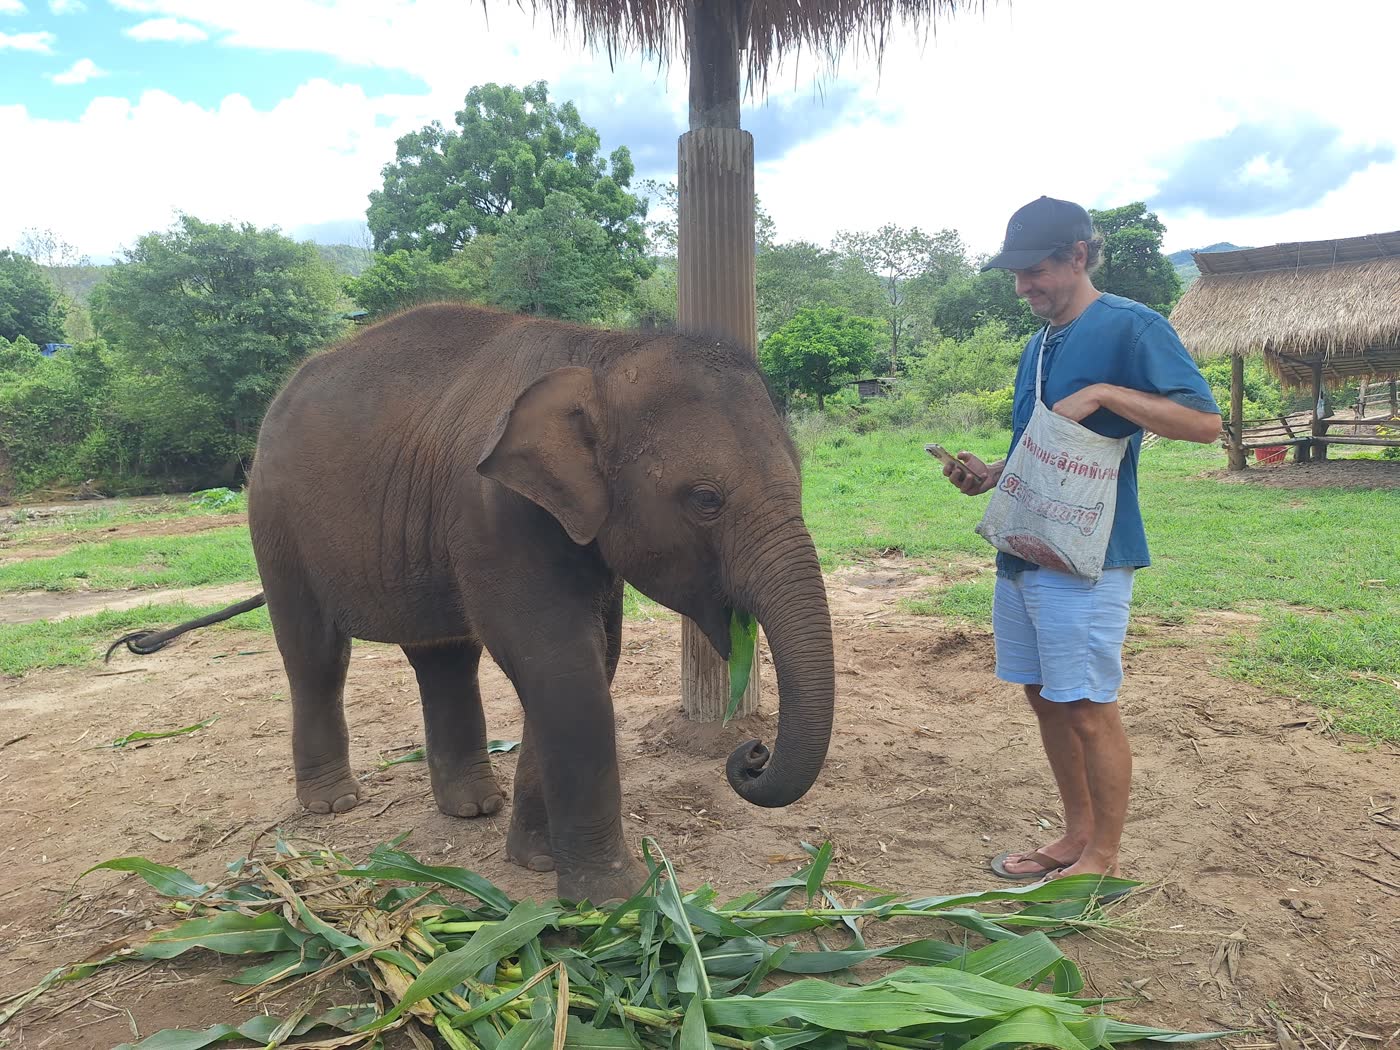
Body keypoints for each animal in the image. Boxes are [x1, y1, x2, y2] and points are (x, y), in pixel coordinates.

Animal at [106, 302, 835, 904]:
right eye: (705, 500)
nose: (750, 754)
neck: (601, 351)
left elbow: (591, 661)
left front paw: (538, 863)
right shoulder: (493, 511)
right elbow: (559, 664)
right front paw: (620, 898)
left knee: (443, 658)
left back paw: (472, 808)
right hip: (274, 522)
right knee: (315, 656)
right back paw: (335, 807)